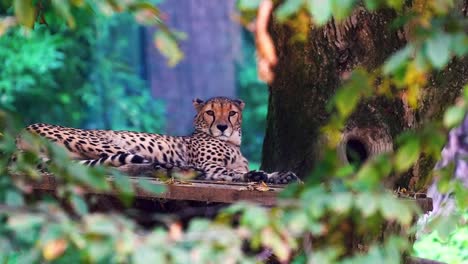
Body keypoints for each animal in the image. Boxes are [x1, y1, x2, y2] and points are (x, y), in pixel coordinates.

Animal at [18, 96, 298, 184]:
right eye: (210, 112)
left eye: (231, 113)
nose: (222, 127)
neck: (233, 144)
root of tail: (24, 129)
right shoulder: (212, 166)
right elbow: (233, 173)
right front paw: (253, 176)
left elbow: (264, 171)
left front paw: (281, 175)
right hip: (105, 142)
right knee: (135, 164)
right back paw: (181, 170)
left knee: (117, 167)